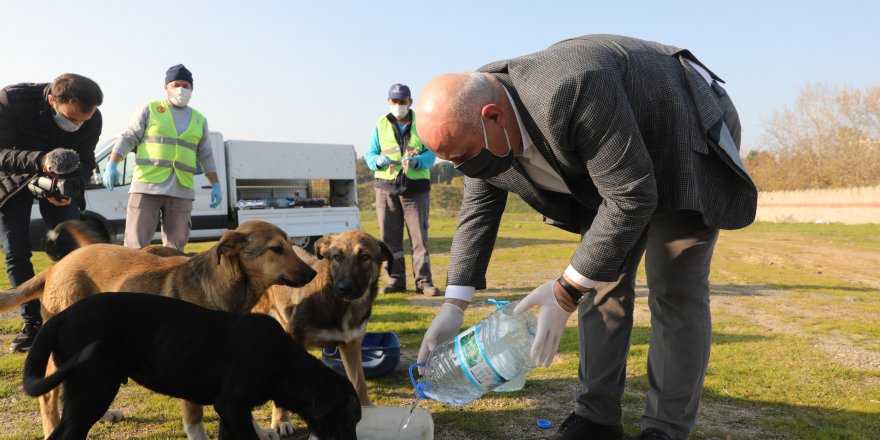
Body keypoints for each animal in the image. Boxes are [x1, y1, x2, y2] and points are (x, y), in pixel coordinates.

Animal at [0, 220, 316, 440]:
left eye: (291, 245)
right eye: (276, 249)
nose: (314, 272)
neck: (221, 289)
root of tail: (55, 268)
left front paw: (261, 431)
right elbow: (195, 419)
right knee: (49, 396)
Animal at [23, 292, 360, 440]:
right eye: (345, 422)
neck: (283, 361)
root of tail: (60, 317)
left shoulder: (230, 410)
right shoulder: (232, 403)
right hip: (93, 389)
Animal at [254, 232, 392, 432]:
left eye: (365, 257)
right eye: (337, 257)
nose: (344, 288)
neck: (342, 306)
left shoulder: (351, 344)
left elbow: (359, 381)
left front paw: (367, 408)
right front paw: (281, 421)